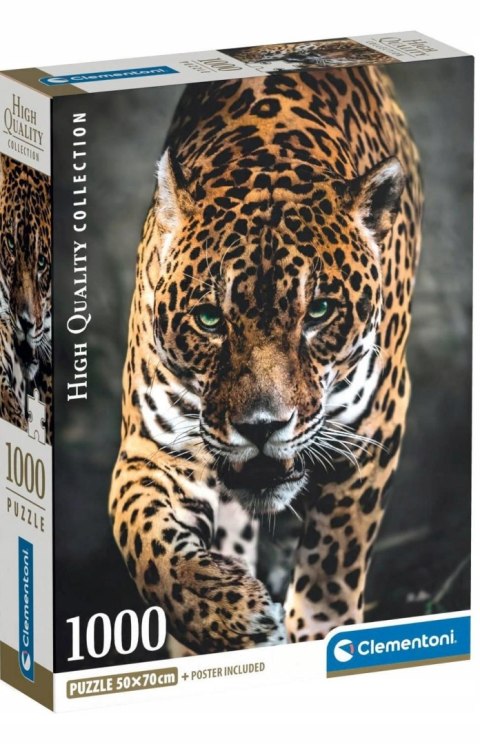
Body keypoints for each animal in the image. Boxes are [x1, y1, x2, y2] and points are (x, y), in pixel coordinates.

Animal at [109, 65, 423, 653]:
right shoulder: (153, 450)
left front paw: (320, 631)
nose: (261, 427)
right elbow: (147, 545)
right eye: (210, 318)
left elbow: (333, 564)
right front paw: (231, 614)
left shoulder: (371, 432)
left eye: (319, 311)